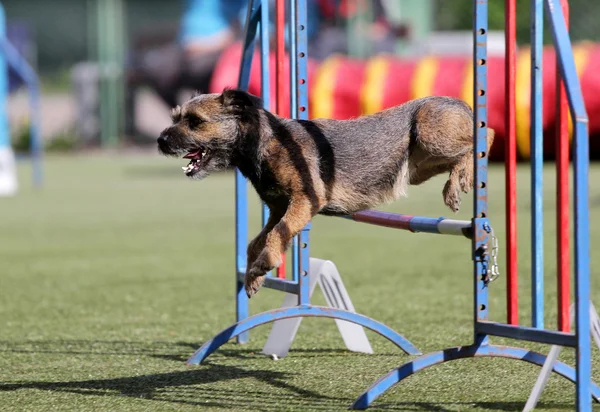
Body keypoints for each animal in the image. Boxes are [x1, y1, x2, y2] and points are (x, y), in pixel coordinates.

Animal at [157, 89, 494, 296]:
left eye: (196, 122)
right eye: (176, 117)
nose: (160, 140)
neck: (266, 143)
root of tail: (462, 103)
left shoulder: (304, 201)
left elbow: (275, 236)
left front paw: (264, 265)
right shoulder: (279, 208)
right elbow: (258, 241)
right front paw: (254, 276)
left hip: (428, 130)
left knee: (484, 136)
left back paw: (459, 182)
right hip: (422, 164)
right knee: (471, 146)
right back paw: (458, 179)